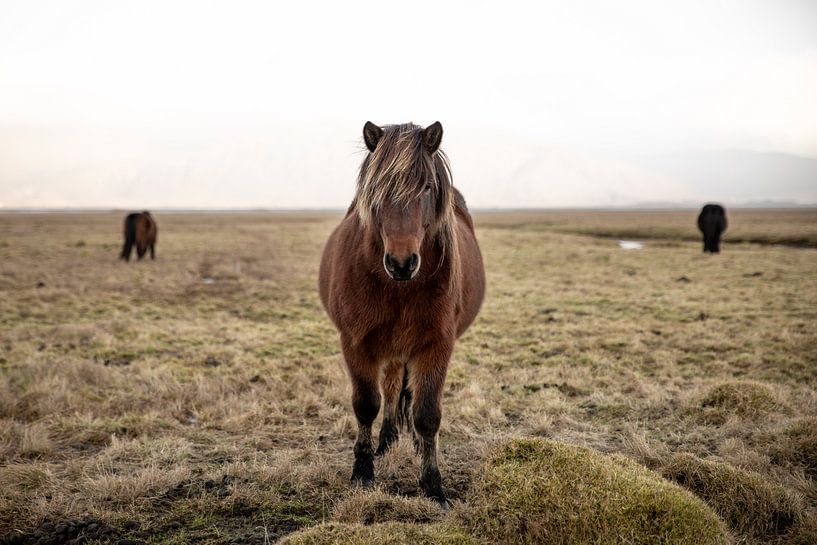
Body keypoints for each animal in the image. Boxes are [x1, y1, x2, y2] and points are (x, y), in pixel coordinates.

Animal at [318, 121, 484, 508]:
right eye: (377, 188)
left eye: (427, 186)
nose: (401, 262)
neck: (397, 288)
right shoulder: (357, 343)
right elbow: (366, 405)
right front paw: (363, 472)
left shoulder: (436, 346)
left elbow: (427, 415)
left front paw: (433, 486)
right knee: (392, 389)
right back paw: (386, 440)